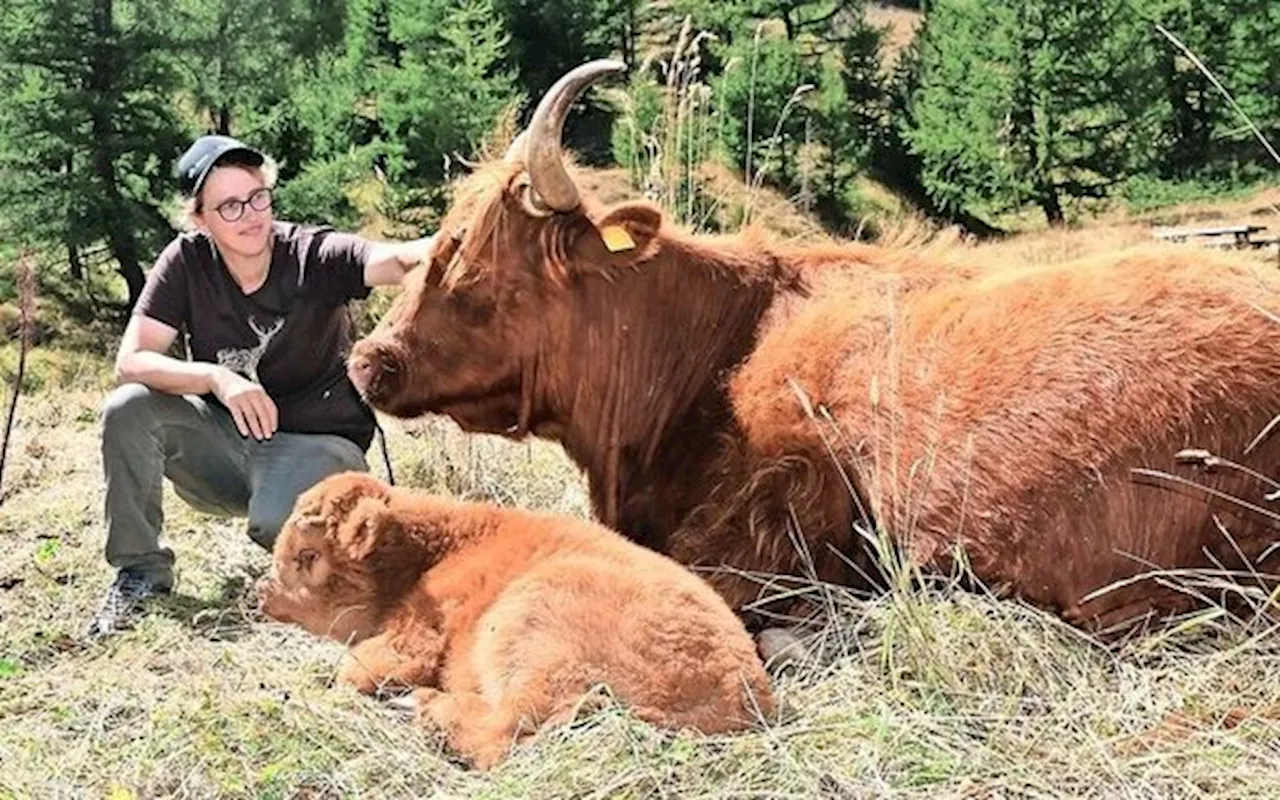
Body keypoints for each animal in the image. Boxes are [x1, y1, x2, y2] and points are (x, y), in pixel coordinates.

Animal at [256, 473, 773, 768]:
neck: (434, 548)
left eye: (307, 555)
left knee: (503, 734)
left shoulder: (411, 637)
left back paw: (425, 707)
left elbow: (359, 668)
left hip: (529, 632)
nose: (263, 593)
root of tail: (741, 696)